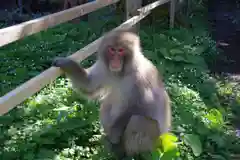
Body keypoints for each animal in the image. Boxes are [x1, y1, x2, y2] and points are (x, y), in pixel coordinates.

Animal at [52, 29, 172, 159]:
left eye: (120, 50)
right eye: (112, 50)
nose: (115, 60)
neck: (122, 73)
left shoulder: (142, 77)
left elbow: (144, 107)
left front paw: (115, 132)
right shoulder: (104, 68)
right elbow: (89, 85)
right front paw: (65, 63)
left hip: (155, 142)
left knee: (139, 120)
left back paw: (129, 155)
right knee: (107, 104)